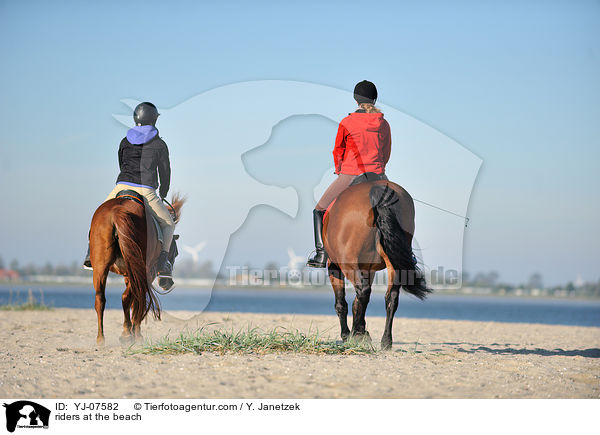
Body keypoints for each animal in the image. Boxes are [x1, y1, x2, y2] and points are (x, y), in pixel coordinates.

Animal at [87, 192, 183, 346]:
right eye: (175, 252)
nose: (167, 283)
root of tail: (116, 211)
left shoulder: (128, 275)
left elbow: (133, 301)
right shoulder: (146, 275)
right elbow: (138, 301)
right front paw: (136, 334)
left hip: (101, 268)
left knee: (100, 299)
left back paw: (101, 338)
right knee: (127, 297)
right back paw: (126, 334)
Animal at [324, 181, 432, 350]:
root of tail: (378, 188)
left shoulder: (334, 266)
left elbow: (342, 303)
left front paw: (348, 335)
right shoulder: (369, 269)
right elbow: (358, 303)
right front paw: (361, 331)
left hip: (347, 262)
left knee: (362, 292)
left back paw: (357, 335)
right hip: (393, 264)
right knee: (391, 297)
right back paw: (385, 341)